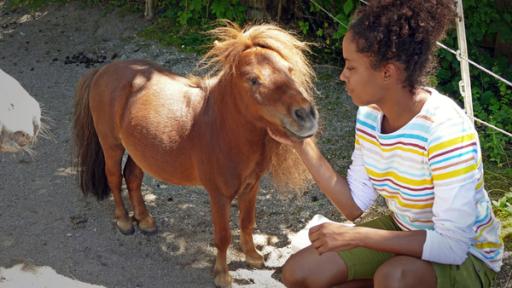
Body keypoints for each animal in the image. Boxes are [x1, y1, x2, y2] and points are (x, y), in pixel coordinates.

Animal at [74, 21, 318, 286]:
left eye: (290, 70)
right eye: (253, 80)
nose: (306, 115)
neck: (222, 128)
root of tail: (103, 71)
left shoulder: (251, 187)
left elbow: (247, 223)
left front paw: (252, 256)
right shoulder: (219, 196)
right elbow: (223, 236)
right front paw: (222, 274)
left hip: (140, 151)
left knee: (132, 177)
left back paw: (145, 220)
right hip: (112, 146)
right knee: (114, 178)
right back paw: (125, 221)